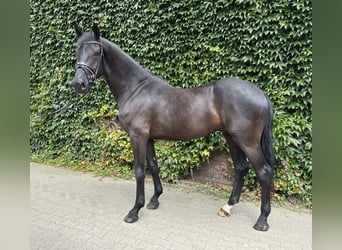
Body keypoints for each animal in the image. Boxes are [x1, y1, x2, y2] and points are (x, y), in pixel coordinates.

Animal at [72, 23, 276, 230]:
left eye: (96, 52)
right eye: (77, 50)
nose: (79, 84)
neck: (136, 89)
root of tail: (260, 93)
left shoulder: (137, 136)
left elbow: (139, 171)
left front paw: (134, 211)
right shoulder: (148, 138)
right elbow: (154, 166)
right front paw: (154, 200)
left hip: (247, 142)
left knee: (264, 172)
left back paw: (262, 220)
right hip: (231, 137)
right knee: (241, 168)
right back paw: (227, 207)